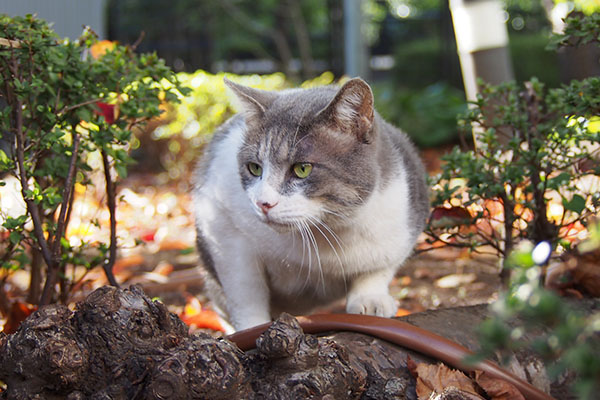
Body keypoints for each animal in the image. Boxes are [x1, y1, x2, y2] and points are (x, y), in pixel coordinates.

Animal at [190, 76, 428, 330]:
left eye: (302, 169)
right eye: (254, 168)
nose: (264, 203)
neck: (327, 233)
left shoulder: (407, 218)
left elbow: (378, 268)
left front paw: (371, 300)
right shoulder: (223, 230)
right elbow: (245, 291)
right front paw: (252, 328)